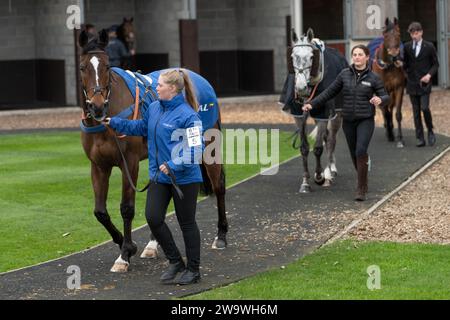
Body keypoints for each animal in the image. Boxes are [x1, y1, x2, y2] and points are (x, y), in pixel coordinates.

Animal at [77, 29, 229, 272]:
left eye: (107, 66)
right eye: (83, 67)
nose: (98, 106)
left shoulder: (129, 163)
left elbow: (127, 208)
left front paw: (125, 254)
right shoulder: (99, 166)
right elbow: (100, 212)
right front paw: (125, 243)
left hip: (208, 146)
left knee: (219, 186)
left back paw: (221, 235)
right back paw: (152, 244)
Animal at [370, 16, 406, 148]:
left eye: (399, 34)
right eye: (385, 36)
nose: (394, 54)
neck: (389, 66)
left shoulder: (399, 88)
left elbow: (397, 114)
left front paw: (400, 138)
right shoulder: (383, 90)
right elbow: (385, 112)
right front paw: (389, 133)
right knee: (384, 109)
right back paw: (388, 129)